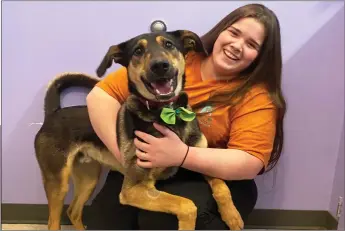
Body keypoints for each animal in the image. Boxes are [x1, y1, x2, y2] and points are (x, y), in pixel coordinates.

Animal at [34, 29, 242, 230]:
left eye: (169, 44)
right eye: (138, 51)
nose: (160, 66)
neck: (167, 113)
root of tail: (53, 113)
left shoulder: (201, 157)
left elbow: (222, 187)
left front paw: (232, 216)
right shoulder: (134, 189)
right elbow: (187, 205)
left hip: (88, 177)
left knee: (73, 212)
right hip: (58, 182)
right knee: (54, 222)